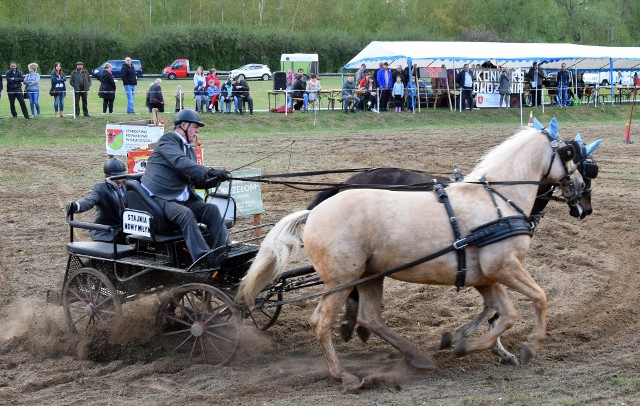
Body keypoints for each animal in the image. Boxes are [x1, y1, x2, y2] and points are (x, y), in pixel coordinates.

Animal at [238, 123, 604, 390]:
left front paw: (467, 343)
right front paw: (525, 346)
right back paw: (343, 374)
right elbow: (536, 300)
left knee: (370, 317)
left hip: (370, 275)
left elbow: (501, 312)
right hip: (342, 279)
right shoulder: (506, 268)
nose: (582, 203)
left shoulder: (487, 275)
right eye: (572, 156)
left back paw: (413, 355)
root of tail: (314, 211)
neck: (498, 200)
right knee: (321, 322)